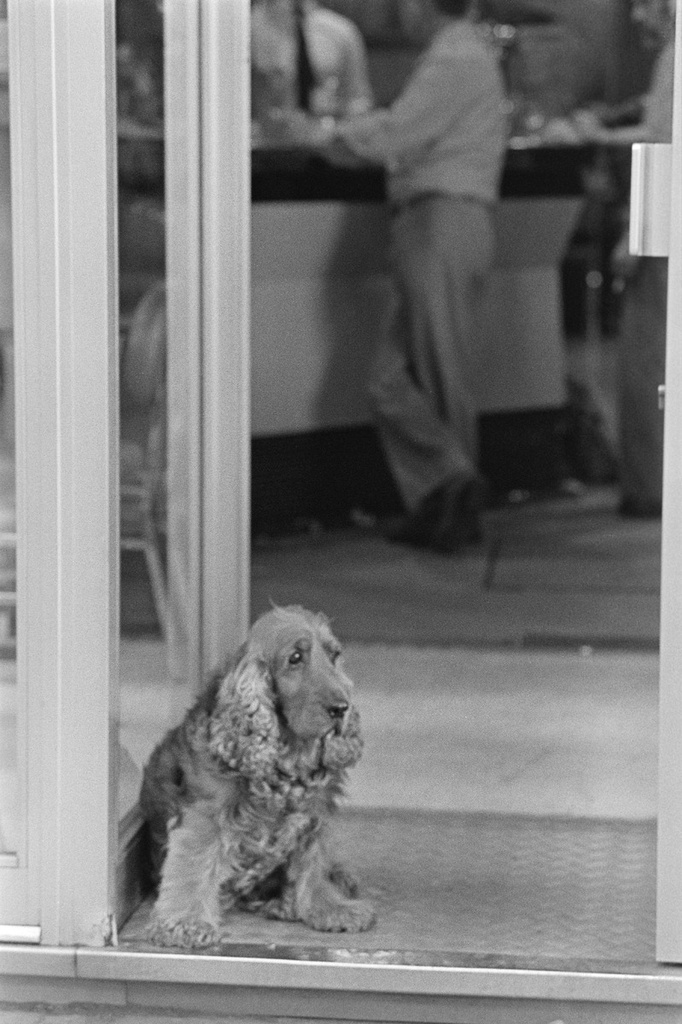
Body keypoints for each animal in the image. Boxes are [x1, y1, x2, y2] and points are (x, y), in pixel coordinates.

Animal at [137, 602, 372, 946]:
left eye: (335, 655)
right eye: (295, 658)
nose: (341, 708)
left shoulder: (313, 817)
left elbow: (314, 864)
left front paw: (332, 908)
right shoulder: (204, 814)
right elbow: (194, 865)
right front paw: (185, 922)